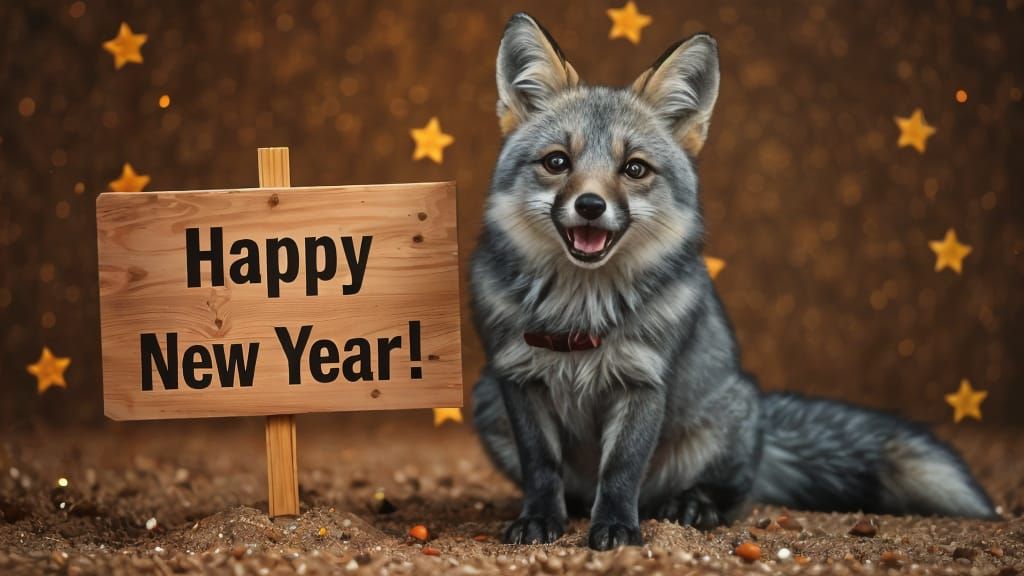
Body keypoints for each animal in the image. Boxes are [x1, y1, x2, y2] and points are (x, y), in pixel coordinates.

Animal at [469, 13, 998, 551]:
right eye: (557, 162)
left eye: (634, 168)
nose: (591, 206)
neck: (580, 316)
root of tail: (762, 420)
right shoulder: (519, 380)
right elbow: (542, 467)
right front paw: (540, 518)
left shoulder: (643, 381)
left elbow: (620, 471)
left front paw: (617, 528)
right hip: (487, 399)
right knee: (580, 488)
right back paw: (579, 508)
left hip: (722, 424)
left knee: (728, 494)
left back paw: (691, 505)